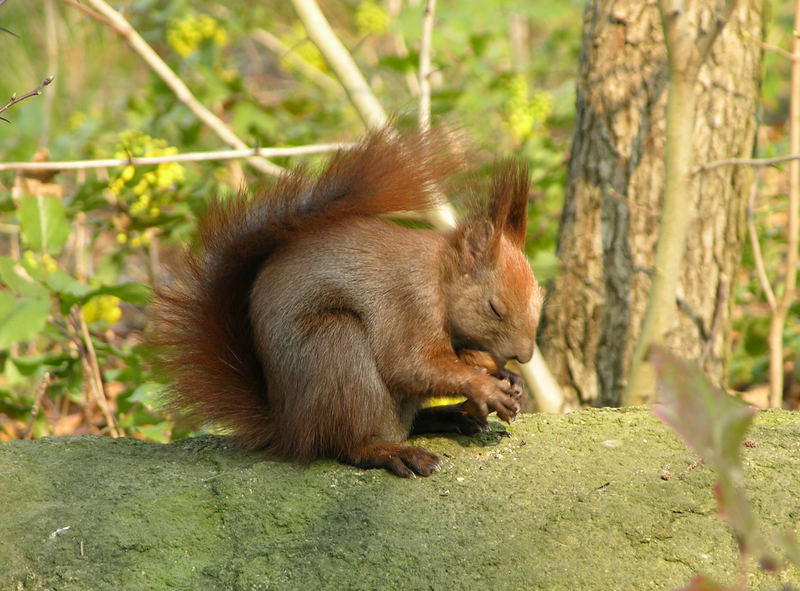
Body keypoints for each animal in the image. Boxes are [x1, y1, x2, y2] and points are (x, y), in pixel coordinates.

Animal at [152, 127, 544, 478]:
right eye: (495, 308)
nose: (524, 356)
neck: (439, 276)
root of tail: (289, 428)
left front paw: (505, 376)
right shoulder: (409, 302)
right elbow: (410, 365)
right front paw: (485, 387)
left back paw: (452, 416)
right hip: (335, 348)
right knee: (346, 444)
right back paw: (394, 452)